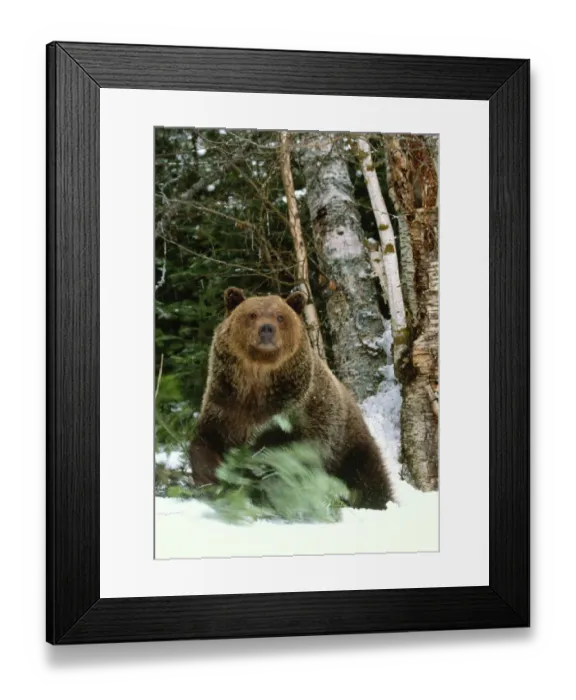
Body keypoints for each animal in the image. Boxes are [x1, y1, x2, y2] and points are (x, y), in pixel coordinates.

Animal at [188, 287, 395, 510]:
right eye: (252, 314)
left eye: (280, 316)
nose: (267, 329)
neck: (256, 384)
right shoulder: (225, 405)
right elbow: (206, 443)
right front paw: (212, 479)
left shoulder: (295, 413)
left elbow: (280, 457)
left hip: (349, 447)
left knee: (368, 480)